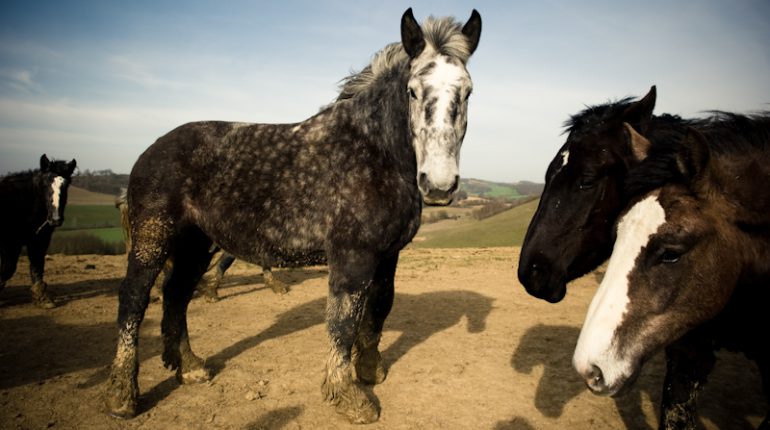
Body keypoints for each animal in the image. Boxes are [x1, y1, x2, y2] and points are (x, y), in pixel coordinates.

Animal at [0, 156, 76, 308]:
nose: (55, 219)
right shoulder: (11, 243)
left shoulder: (39, 238)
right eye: (45, 185)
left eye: (66, 186)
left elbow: (37, 265)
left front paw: (41, 296)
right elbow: (8, 269)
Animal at [104, 8, 480, 424]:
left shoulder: (388, 255)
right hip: (153, 239)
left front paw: (369, 370)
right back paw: (122, 395)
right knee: (134, 300)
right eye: (413, 90)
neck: (372, 151)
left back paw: (189, 367)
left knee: (175, 295)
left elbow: (379, 308)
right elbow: (343, 321)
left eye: (467, 91)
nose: (439, 185)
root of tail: (148, 153)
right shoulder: (352, 256)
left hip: (195, 246)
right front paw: (348, 396)